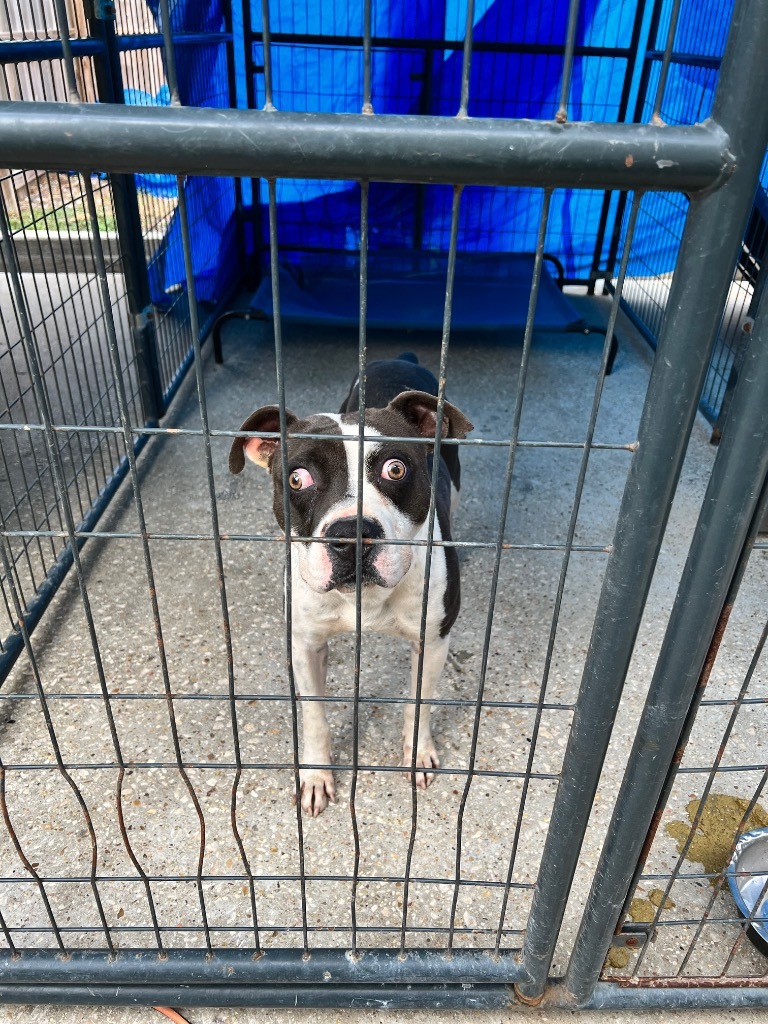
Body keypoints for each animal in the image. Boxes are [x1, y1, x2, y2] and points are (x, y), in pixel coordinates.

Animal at [228, 358, 473, 815]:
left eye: (395, 468)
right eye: (297, 479)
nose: (352, 533)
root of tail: (402, 358)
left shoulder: (431, 640)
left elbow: (419, 704)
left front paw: (416, 754)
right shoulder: (305, 644)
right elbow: (314, 718)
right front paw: (316, 776)